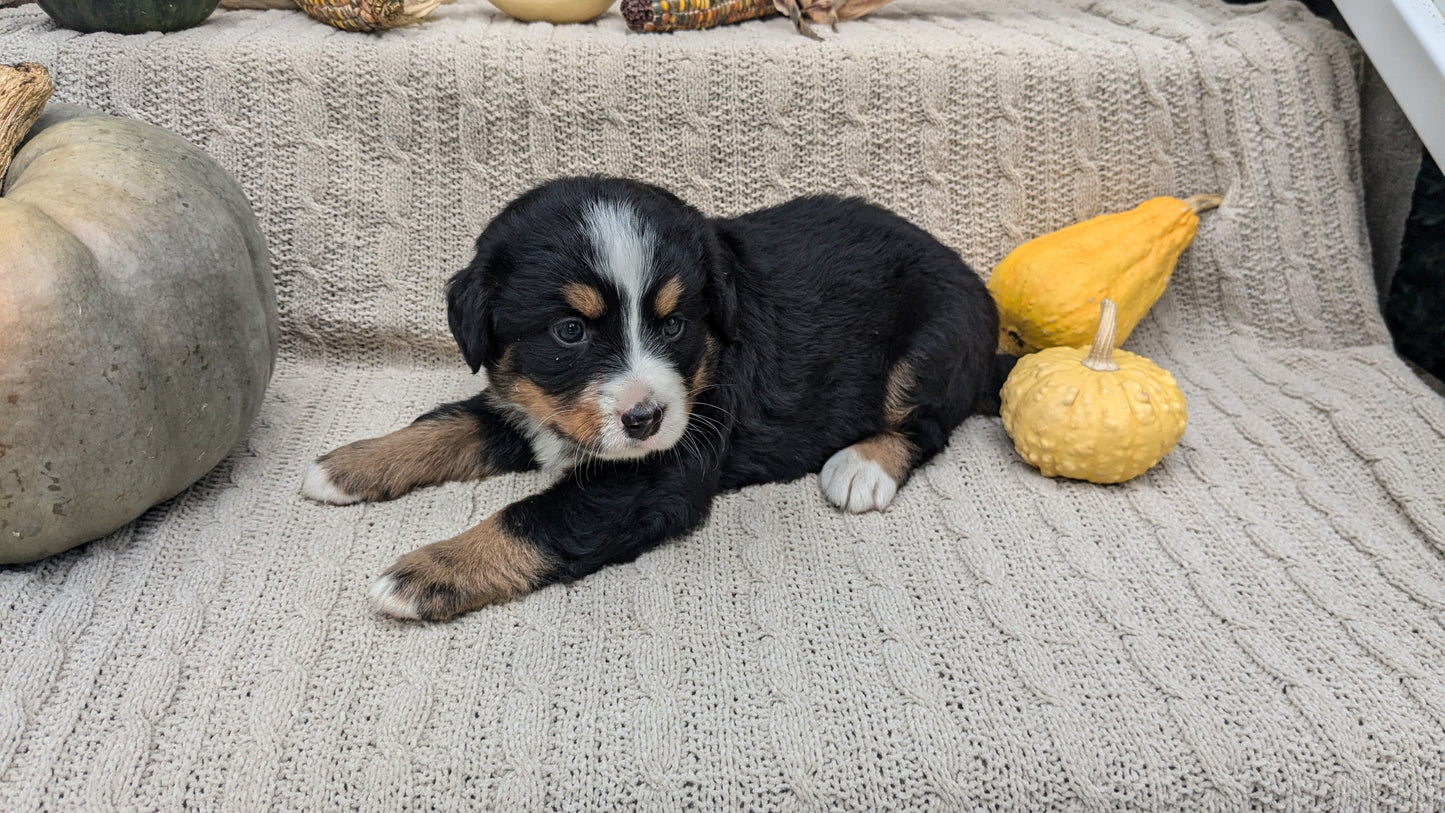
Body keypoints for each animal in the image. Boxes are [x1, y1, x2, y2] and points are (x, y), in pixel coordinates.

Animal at [302, 178, 1005, 620]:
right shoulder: (532, 406)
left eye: (673, 325)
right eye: (570, 330)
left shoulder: (657, 474)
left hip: (930, 345)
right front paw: (349, 464)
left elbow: (532, 518)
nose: (645, 419)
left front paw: (425, 573)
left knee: (927, 424)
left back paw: (862, 467)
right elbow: (448, 425)